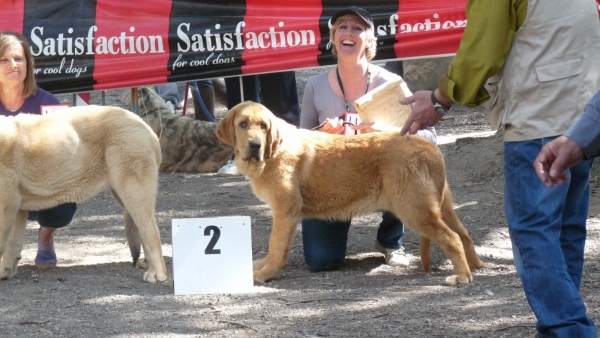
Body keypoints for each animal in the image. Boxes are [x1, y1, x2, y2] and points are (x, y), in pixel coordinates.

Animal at [1, 106, 169, 282]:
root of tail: (146, 128)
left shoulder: (6, 204)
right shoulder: (16, 207)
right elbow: (13, 241)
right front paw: (6, 271)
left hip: (133, 188)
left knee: (150, 230)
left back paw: (156, 273)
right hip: (123, 192)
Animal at [216, 101, 482, 286]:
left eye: (263, 126)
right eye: (243, 125)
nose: (255, 145)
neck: (275, 150)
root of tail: (429, 148)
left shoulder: (284, 212)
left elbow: (275, 247)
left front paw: (265, 273)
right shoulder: (287, 216)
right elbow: (278, 248)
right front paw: (260, 266)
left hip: (414, 209)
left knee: (451, 238)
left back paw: (462, 276)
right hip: (439, 206)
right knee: (464, 235)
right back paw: (476, 266)